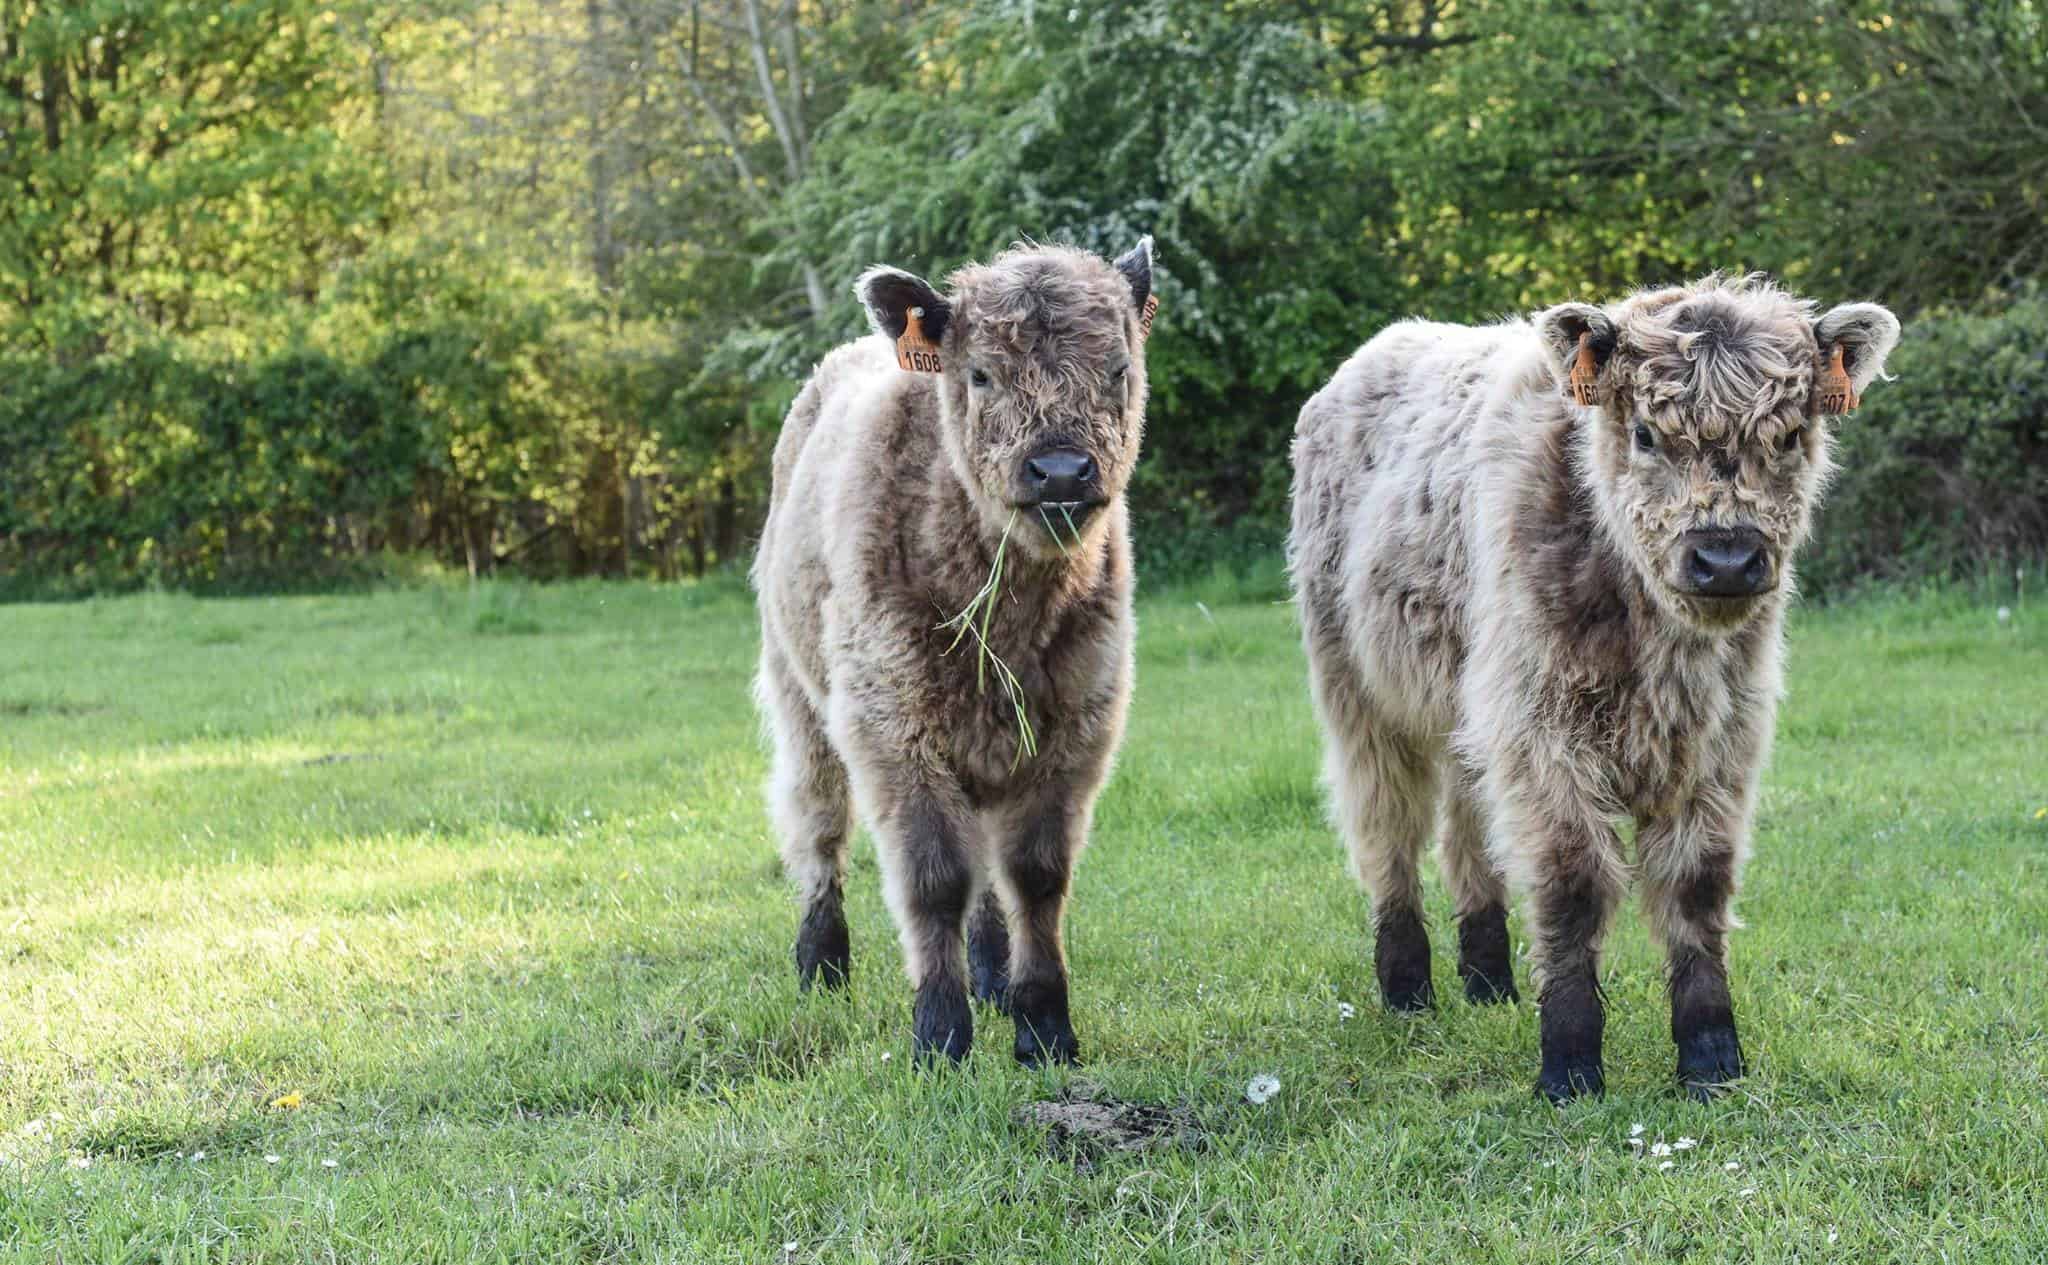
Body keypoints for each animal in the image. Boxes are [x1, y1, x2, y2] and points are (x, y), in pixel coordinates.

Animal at [751, 239, 1157, 1065]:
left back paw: (993, 974)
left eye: (1117, 369)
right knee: (818, 822)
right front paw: (940, 1033)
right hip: (799, 694)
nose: (1061, 472)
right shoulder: (892, 729)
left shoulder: (1079, 723)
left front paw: (1042, 1022)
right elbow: (934, 877)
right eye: (980, 375)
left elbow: (1035, 874)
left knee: (989, 876)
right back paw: (821, 961)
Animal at [1287, 273, 1899, 1100]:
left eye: (1790, 435)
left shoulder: (1724, 739)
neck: (1659, 654)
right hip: (1360, 689)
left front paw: (1711, 1055)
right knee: (1387, 825)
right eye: (1644, 433)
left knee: (1466, 826)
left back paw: (1488, 977)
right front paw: (1570, 1062)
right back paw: (1408, 986)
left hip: (1470, 704)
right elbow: (1572, 886)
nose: (1726, 558)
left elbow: (1697, 887)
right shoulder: (1544, 732)